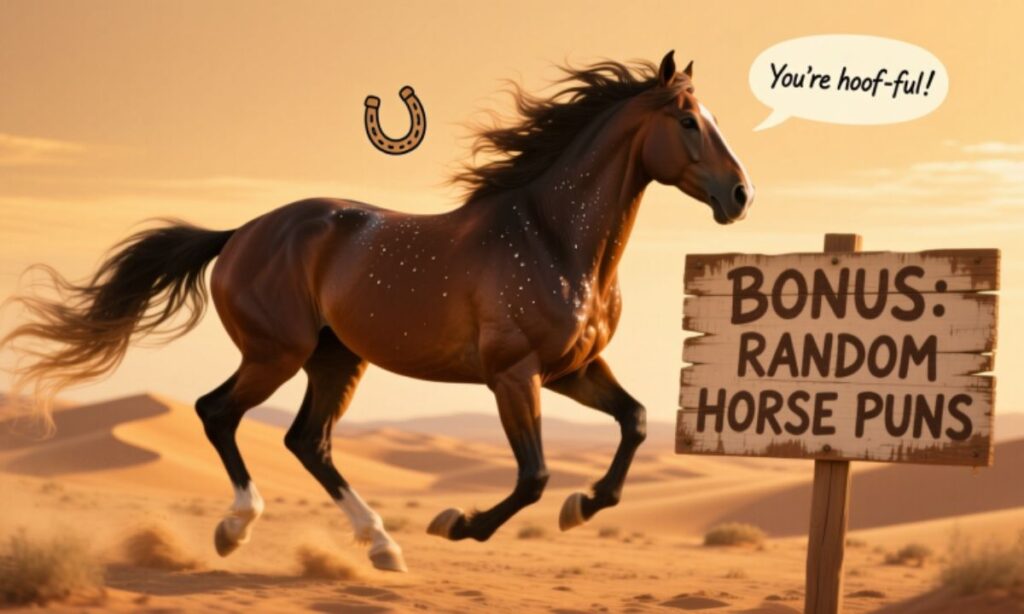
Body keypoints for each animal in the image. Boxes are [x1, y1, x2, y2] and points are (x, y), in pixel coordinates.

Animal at [2, 51, 753, 572]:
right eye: (688, 121)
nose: (740, 195)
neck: (553, 237)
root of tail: (241, 233)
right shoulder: (514, 374)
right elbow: (534, 476)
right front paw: (459, 522)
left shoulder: (573, 369)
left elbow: (633, 422)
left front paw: (582, 506)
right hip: (276, 354)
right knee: (218, 413)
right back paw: (238, 528)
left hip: (337, 359)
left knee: (307, 441)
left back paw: (381, 546)